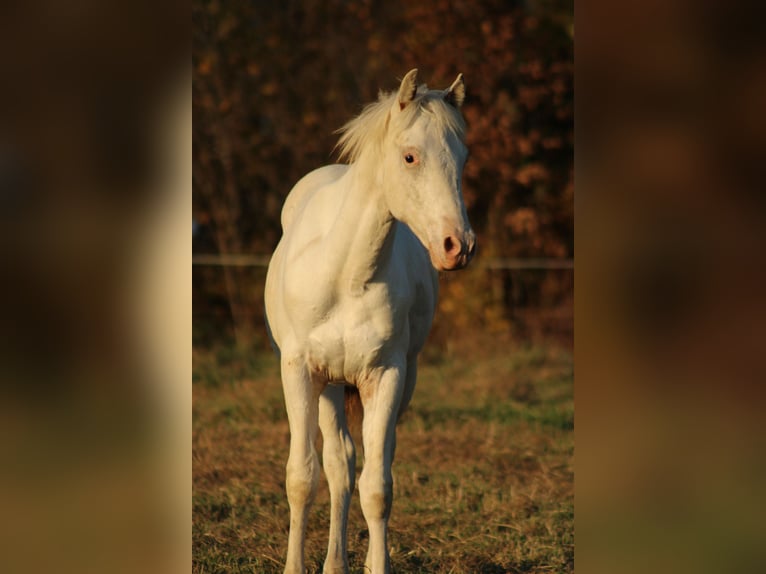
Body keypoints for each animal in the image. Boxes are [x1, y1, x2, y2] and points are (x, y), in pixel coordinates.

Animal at [268, 68, 476, 574]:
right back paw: (333, 563)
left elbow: (378, 488)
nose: (457, 245)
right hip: (327, 387)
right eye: (410, 156)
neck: (346, 275)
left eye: (462, 157)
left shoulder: (387, 375)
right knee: (338, 465)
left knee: (365, 465)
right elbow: (302, 479)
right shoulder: (299, 372)